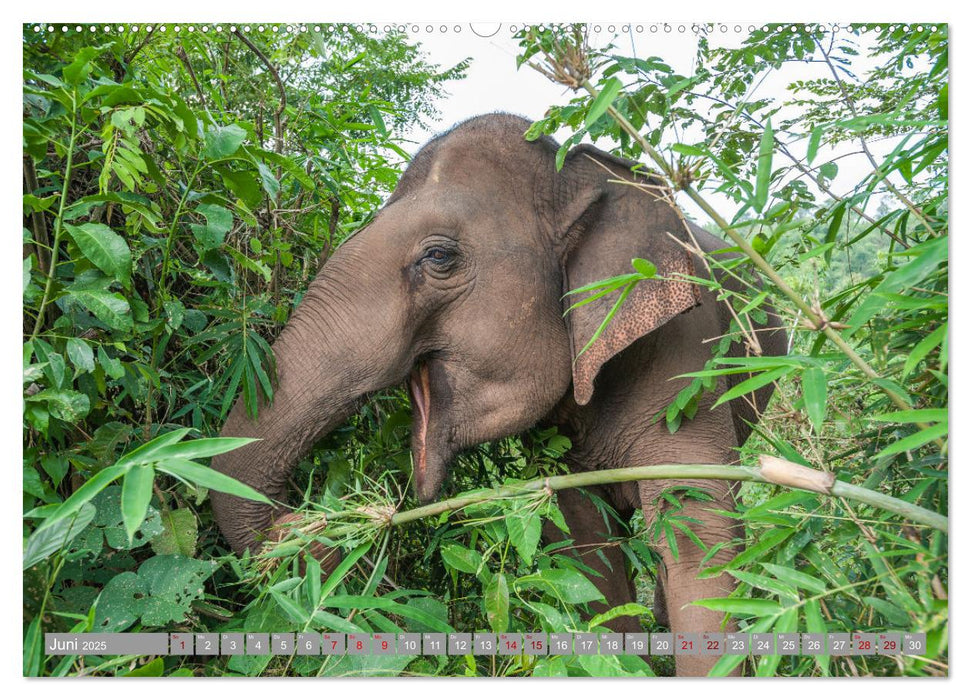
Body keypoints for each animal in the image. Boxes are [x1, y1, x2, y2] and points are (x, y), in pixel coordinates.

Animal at [209, 112, 784, 676]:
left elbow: (695, 532)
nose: (302, 527)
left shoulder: (690, 359)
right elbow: (587, 544)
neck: (575, 169)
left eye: (439, 256)